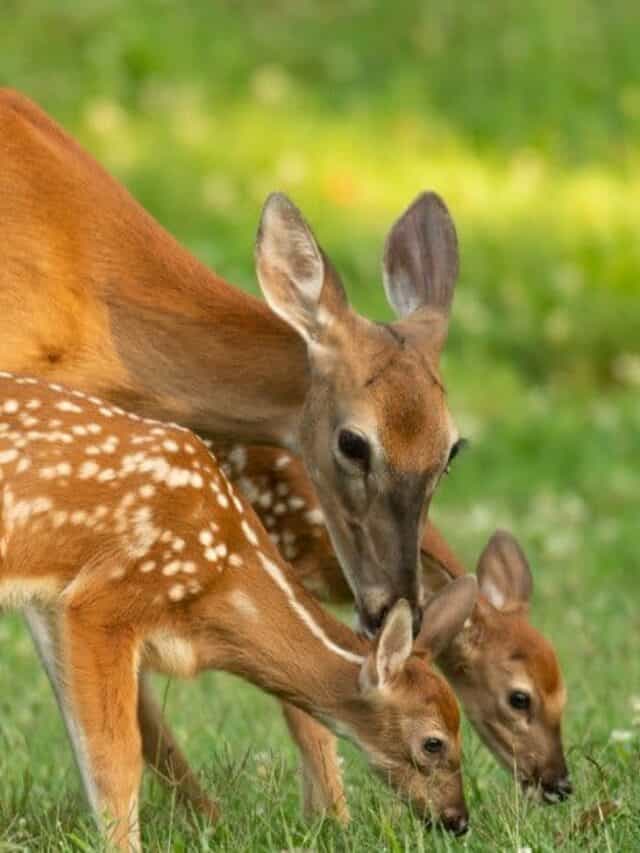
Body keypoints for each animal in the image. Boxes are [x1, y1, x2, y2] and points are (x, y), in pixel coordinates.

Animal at [0, 372, 476, 844]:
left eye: (460, 730)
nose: (458, 819)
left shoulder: (55, 607)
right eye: (433, 742)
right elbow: (115, 757)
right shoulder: (104, 598)